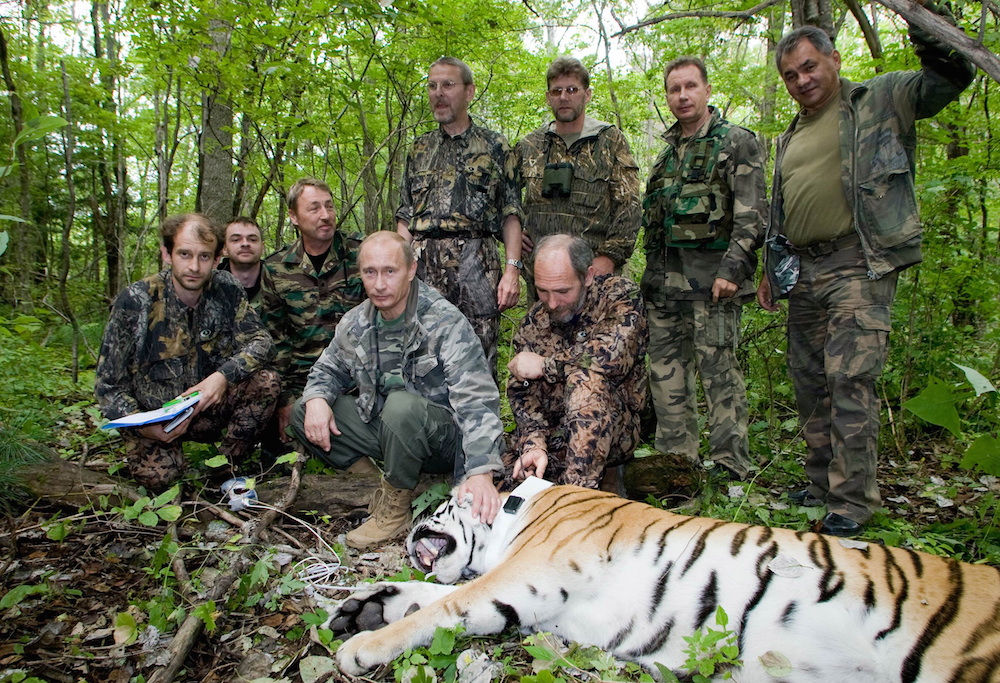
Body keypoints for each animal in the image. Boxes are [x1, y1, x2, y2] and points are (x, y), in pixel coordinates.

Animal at [330, 479, 1000, 682]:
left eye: (441, 504)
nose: (409, 527)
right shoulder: (536, 602)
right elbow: (434, 595)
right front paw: (362, 607)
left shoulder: (531, 574)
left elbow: (444, 604)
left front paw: (358, 648)